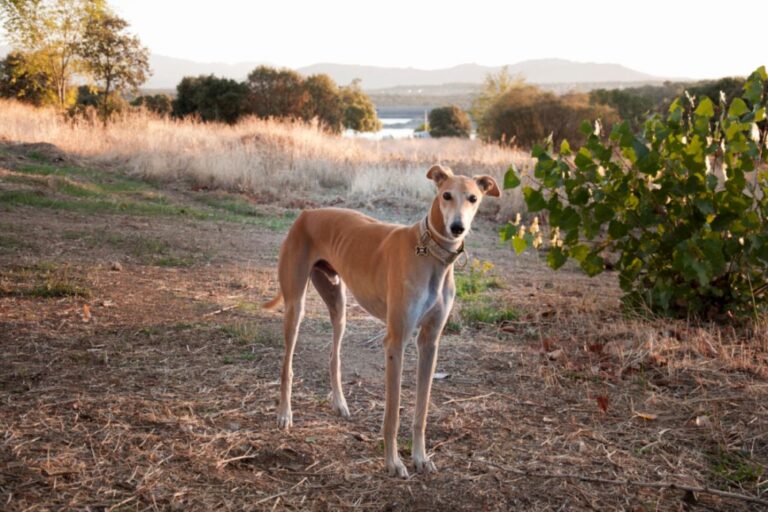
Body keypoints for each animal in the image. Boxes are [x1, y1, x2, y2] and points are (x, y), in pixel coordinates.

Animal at [264, 166, 500, 478]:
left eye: (473, 198)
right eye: (446, 195)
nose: (457, 228)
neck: (429, 253)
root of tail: (307, 213)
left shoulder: (429, 343)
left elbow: (421, 411)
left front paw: (420, 457)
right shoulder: (396, 342)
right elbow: (392, 414)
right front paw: (393, 462)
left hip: (338, 304)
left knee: (334, 356)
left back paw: (339, 403)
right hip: (295, 305)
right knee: (286, 366)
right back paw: (284, 414)